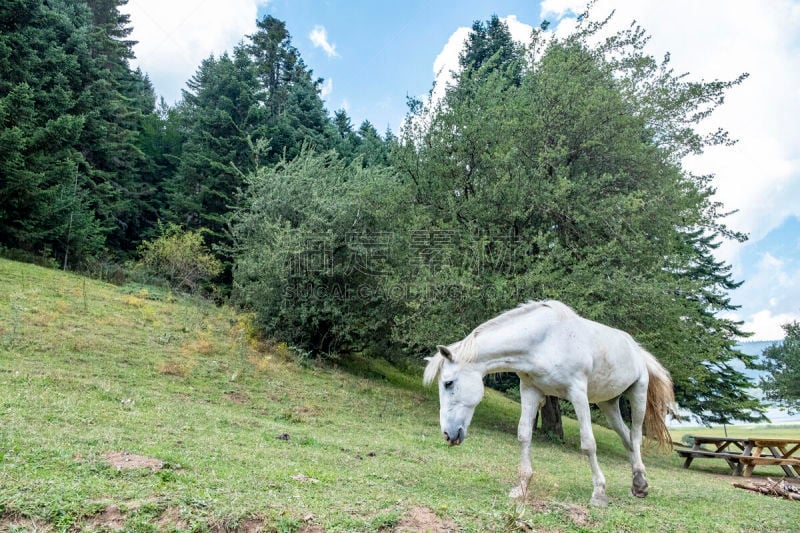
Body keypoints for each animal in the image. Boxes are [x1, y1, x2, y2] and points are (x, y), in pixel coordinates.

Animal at [424, 302, 676, 504]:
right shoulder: (530, 390)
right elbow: (524, 435)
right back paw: (638, 484)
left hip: (638, 394)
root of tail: (636, 349)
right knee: (626, 439)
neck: (545, 340)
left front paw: (599, 493)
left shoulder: (577, 393)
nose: (448, 434)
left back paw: (640, 484)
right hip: (609, 404)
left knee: (635, 436)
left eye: (448, 383)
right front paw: (521, 487)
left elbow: (588, 443)